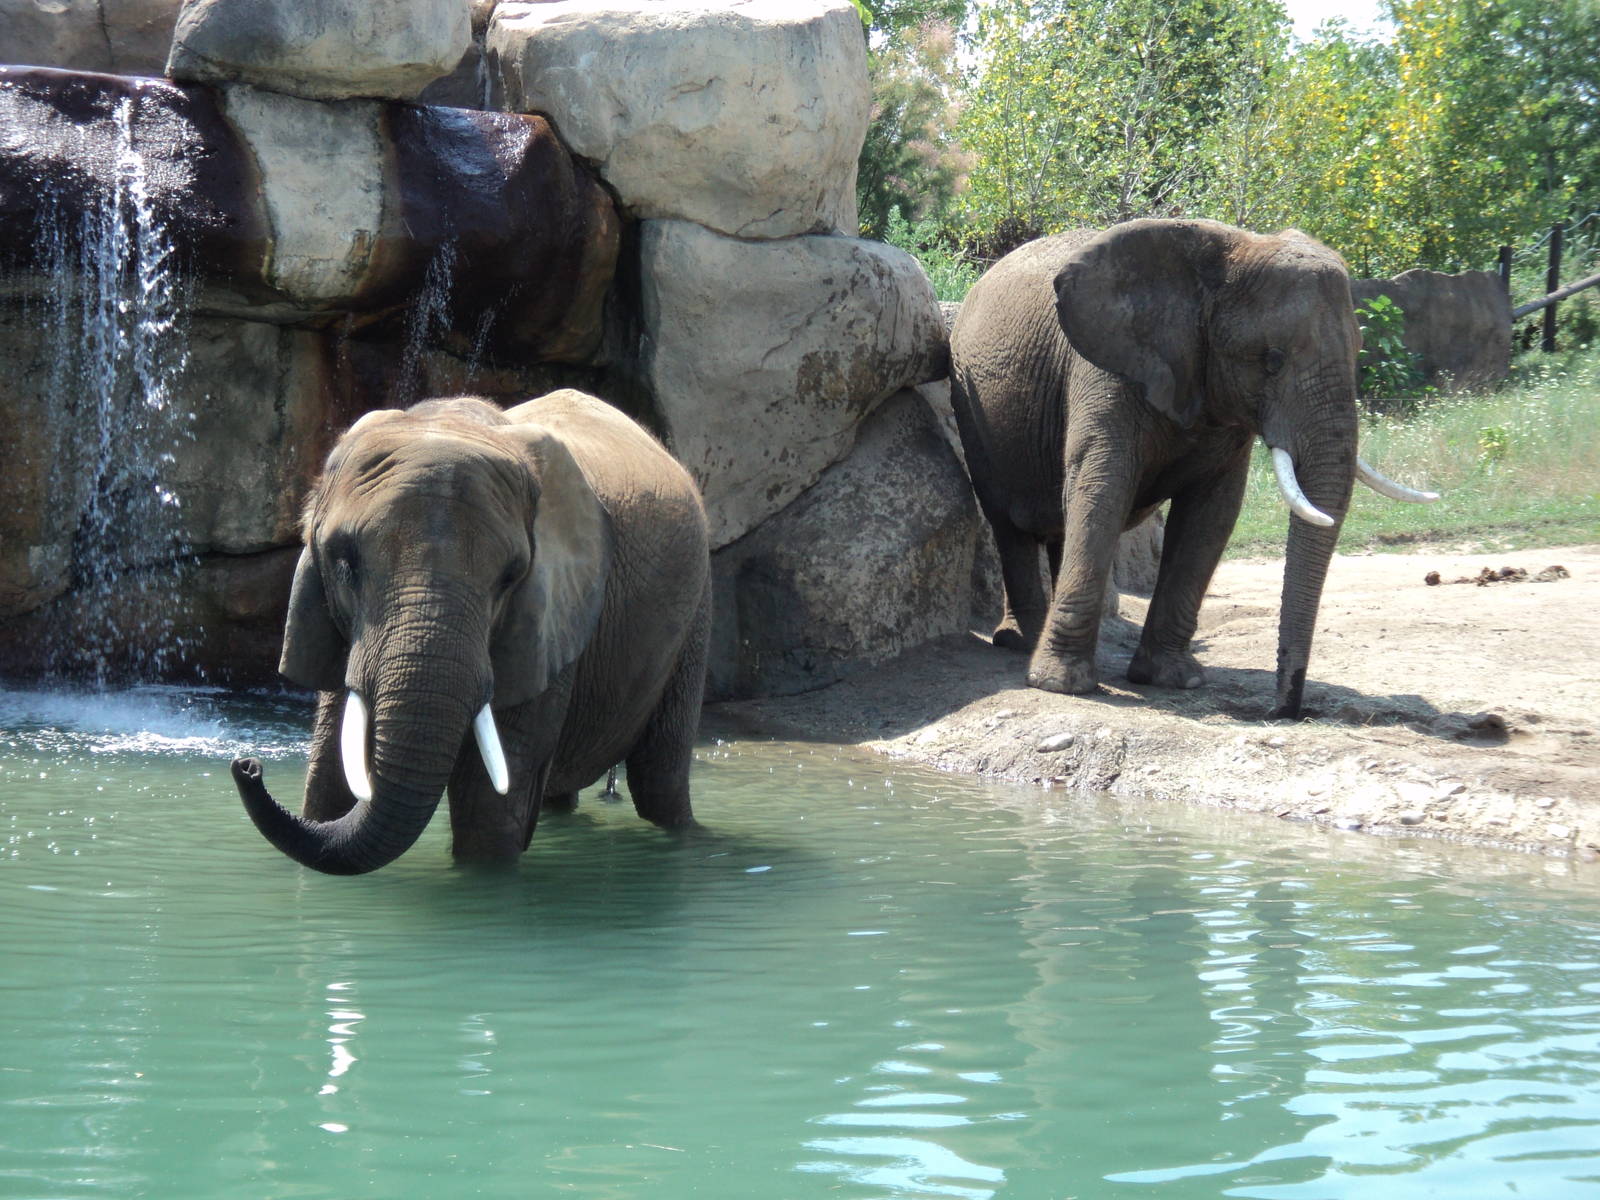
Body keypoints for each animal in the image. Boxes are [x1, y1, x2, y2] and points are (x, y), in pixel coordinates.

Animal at [230, 389, 711, 874]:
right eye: (345, 564)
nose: (247, 766)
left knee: (660, 781)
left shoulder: (548, 619)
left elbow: (487, 803)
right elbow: (330, 772)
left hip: (694, 615)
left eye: (510, 577)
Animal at [948, 219, 1437, 718]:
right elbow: (1102, 485)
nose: (1285, 709)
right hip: (973, 408)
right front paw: (1060, 686)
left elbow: (1212, 512)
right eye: (1272, 359)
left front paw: (1173, 680)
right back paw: (1022, 642)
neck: (1226, 254)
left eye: (1360, 349)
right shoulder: (1105, 369)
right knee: (1010, 525)